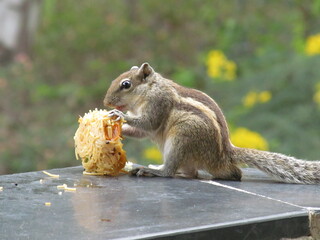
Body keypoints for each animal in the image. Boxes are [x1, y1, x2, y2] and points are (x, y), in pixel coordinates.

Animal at [104, 62, 318, 185]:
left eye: (126, 84)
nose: (106, 102)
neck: (149, 89)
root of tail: (224, 154)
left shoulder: (159, 103)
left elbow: (148, 123)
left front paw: (118, 115)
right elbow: (140, 131)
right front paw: (118, 130)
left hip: (181, 138)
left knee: (170, 171)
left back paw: (153, 170)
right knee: (197, 173)